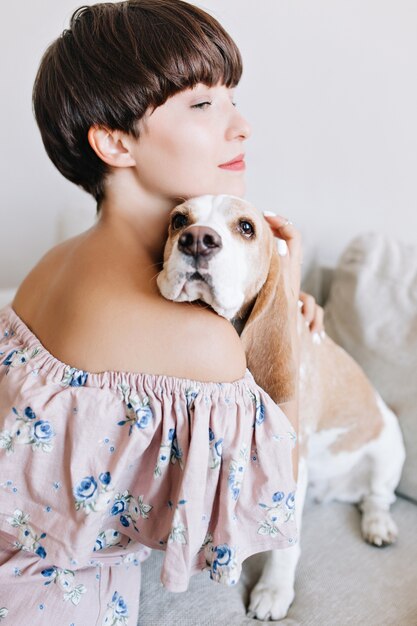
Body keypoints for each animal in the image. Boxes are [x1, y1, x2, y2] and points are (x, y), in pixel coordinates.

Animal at [155, 194, 404, 620]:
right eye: (178, 220)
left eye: (246, 227)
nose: (197, 239)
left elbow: (283, 544)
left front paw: (273, 591)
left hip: (390, 450)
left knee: (377, 497)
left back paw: (378, 525)